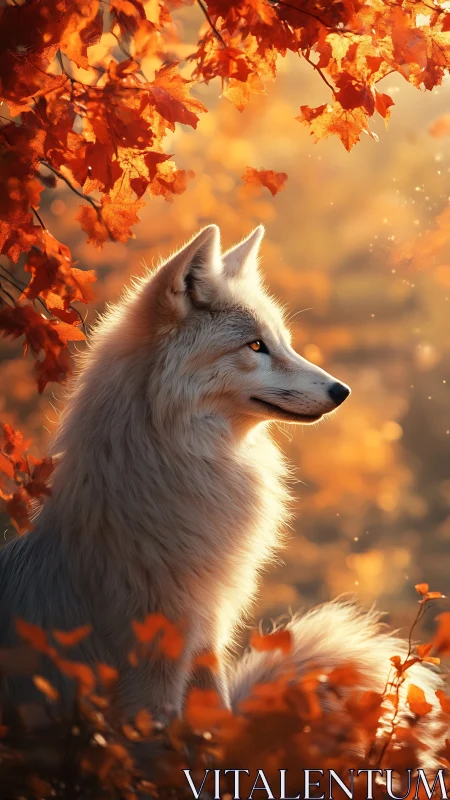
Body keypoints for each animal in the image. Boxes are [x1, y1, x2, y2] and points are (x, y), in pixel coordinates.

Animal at [0, 224, 444, 761]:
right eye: (255, 346)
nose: (342, 391)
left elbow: (215, 730)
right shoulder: (154, 668)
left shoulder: (205, 639)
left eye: (282, 342)